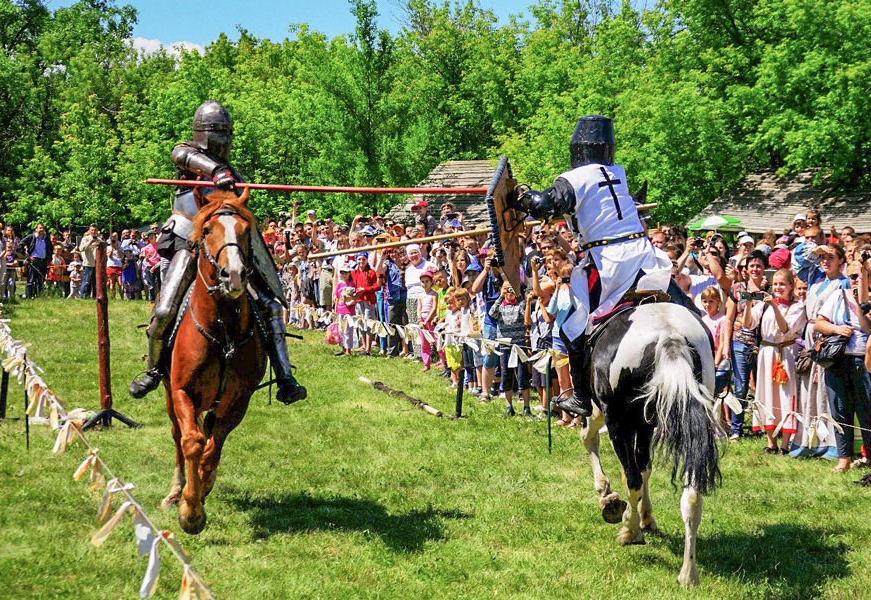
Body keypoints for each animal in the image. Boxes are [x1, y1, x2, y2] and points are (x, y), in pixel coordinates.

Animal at [158, 189, 264, 536]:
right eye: (207, 230)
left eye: (245, 231)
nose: (234, 275)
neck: (222, 330)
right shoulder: (181, 391)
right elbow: (192, 442)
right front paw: (190, 511)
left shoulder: (238, 401)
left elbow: (212, 448)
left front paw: (201, 491)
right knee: (178, 436)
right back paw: (176, 491)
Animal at [580, 302, 724, 584]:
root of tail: (668, 335)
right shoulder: (646, 423)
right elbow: (645, 466)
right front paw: (645, 516)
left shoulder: (614, 416)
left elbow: (625, 467)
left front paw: (609, 497)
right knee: (691, 496)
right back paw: (688, 573)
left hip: (616, 419)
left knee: (632, 477)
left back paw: (630, 531)